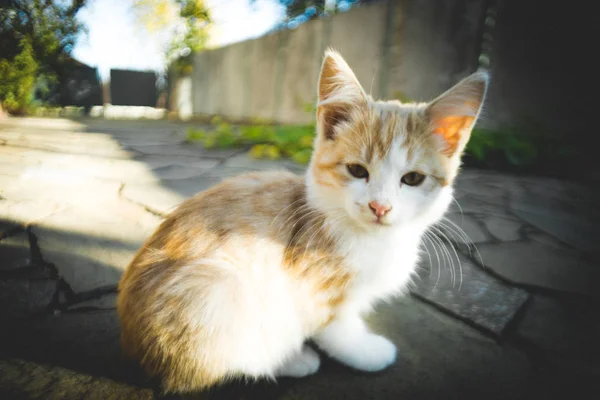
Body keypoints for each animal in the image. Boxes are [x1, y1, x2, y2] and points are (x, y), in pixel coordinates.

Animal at [117, 50, 488, 394]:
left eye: (412, 178)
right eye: (357, 170)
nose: (379, 207)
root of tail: (135, 349)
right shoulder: (314, 288)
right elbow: (337, 328)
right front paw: (366, 351)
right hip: (218, 287)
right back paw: (291, 360)